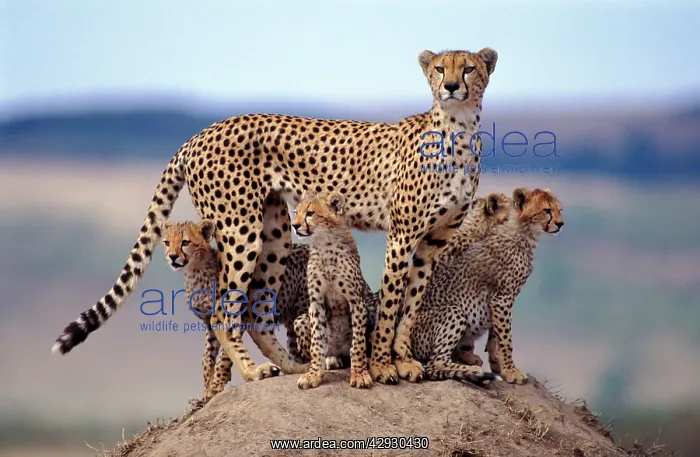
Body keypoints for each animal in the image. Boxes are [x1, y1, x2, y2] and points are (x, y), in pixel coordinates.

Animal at [291, 191, 373, 389]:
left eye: (310, 213)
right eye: (296, 212)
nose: (294, 225)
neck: (325, 242)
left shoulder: (356, 301)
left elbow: (357, 343)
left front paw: (360, 374)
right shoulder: (316, 302)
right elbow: (316, 343)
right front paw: (313, 374)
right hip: (300, 320)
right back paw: (331, 360)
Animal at [411, 187, 565, 384]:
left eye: (559, 210)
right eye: (546, 210)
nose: (561, 224)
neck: (522, 232)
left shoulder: (498, 301)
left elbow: (495, 336)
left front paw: (499, 365)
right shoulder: (502, 299)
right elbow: (506, 338)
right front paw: (511, 371)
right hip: (453, 311)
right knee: (436, 361)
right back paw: (471, 370)